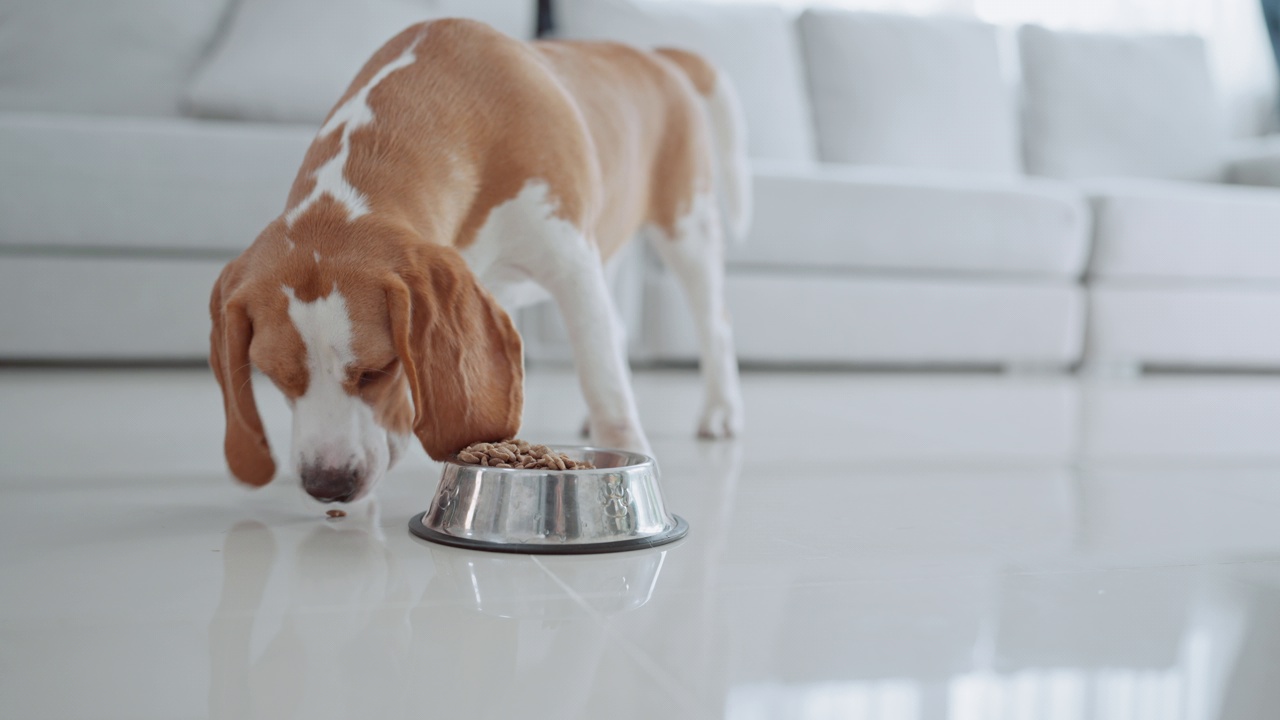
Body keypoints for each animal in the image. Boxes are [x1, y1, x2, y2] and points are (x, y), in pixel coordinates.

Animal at [208, 16, 747, 499]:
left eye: (377, 371)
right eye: (275, 377)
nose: (328, 485)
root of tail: (655, 56)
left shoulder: (571, 267)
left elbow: (605, 382)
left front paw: (626, 449)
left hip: (686, 228)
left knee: (714, 326)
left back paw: (720, 410)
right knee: (615, 330)